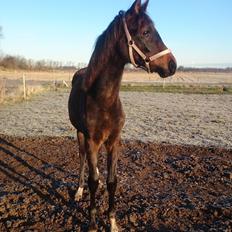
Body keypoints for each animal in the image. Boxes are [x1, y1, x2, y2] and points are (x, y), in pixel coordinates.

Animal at [68, 0, 177, 230]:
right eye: (145, 32)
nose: (172, 64)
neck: (104, 100)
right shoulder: (91, 140)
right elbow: (92, 181)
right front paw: (92, 223)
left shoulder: (114, 141)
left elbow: (112, 181)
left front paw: (112, 222)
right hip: (80, 134)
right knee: (82, 160)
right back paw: (79, 191)